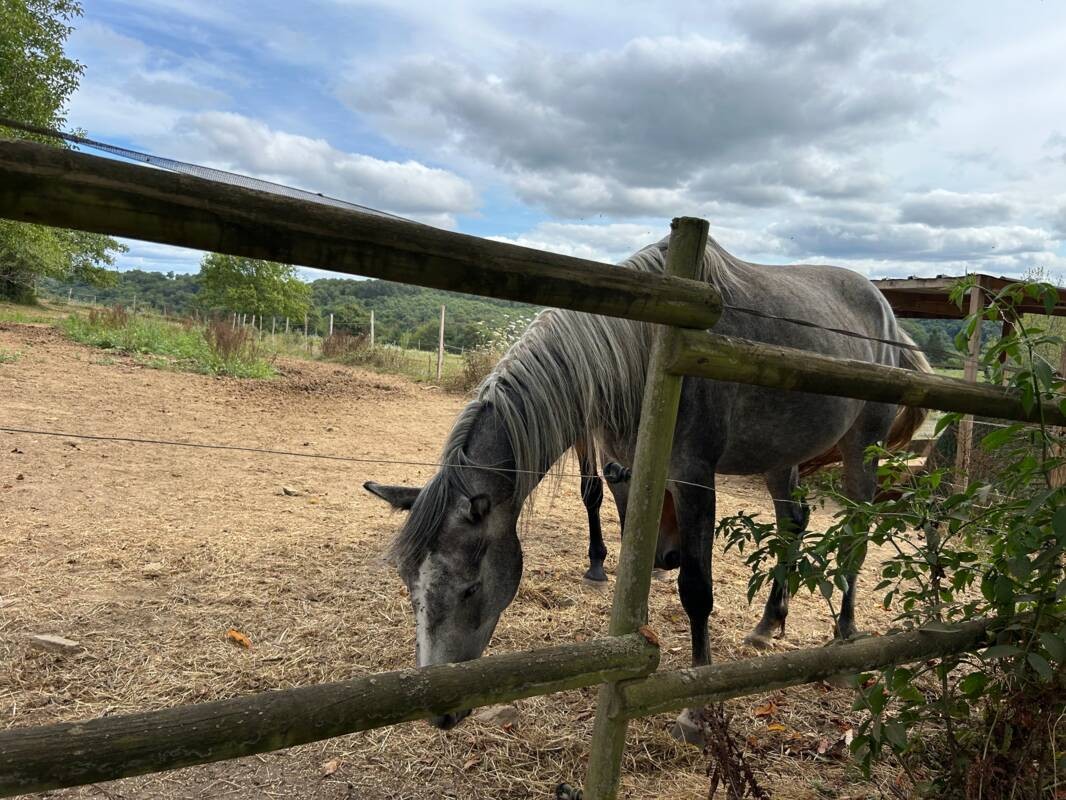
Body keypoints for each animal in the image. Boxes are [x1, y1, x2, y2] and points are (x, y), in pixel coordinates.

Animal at [362, 231, 929, 733]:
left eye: (471, 588)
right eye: (408, 584)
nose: (439, 713)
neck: (644, 354)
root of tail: (891, 321)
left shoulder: (695, 479)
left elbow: (696, 590)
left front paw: (697, 710)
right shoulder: (625, 472)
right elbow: (636, 558)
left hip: (862, 449)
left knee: (857, 534)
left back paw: (847, 640)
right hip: (780, 455)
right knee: (793, 522)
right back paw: (768, 626)